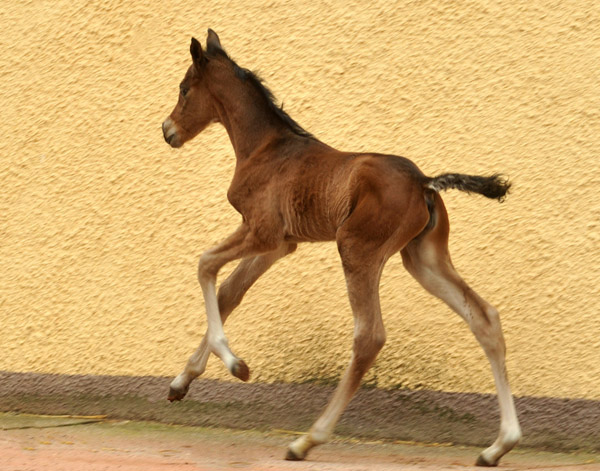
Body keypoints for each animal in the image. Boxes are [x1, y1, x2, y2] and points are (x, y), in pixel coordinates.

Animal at [161, 30, 520, 468]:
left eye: (184, 88)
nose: (167, 130)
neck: (265, 148)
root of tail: (424, 181)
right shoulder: (282, 244)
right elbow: (230, 292)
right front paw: (180, 383)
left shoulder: (261, 231)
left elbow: (205, 265)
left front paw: (235, 364)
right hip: (423, 259)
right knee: (484, 317)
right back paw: (498, 446)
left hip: (357, 248)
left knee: (369, 337)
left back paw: (306, 440)